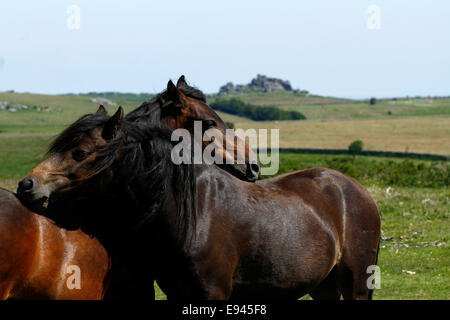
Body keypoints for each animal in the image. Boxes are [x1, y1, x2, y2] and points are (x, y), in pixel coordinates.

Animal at [19, 111, 382, 298]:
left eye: (80, 152)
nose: (26, 185)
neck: (192, 215)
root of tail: (355, 190)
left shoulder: (214, 295)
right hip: (325, 287)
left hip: (356, 284)